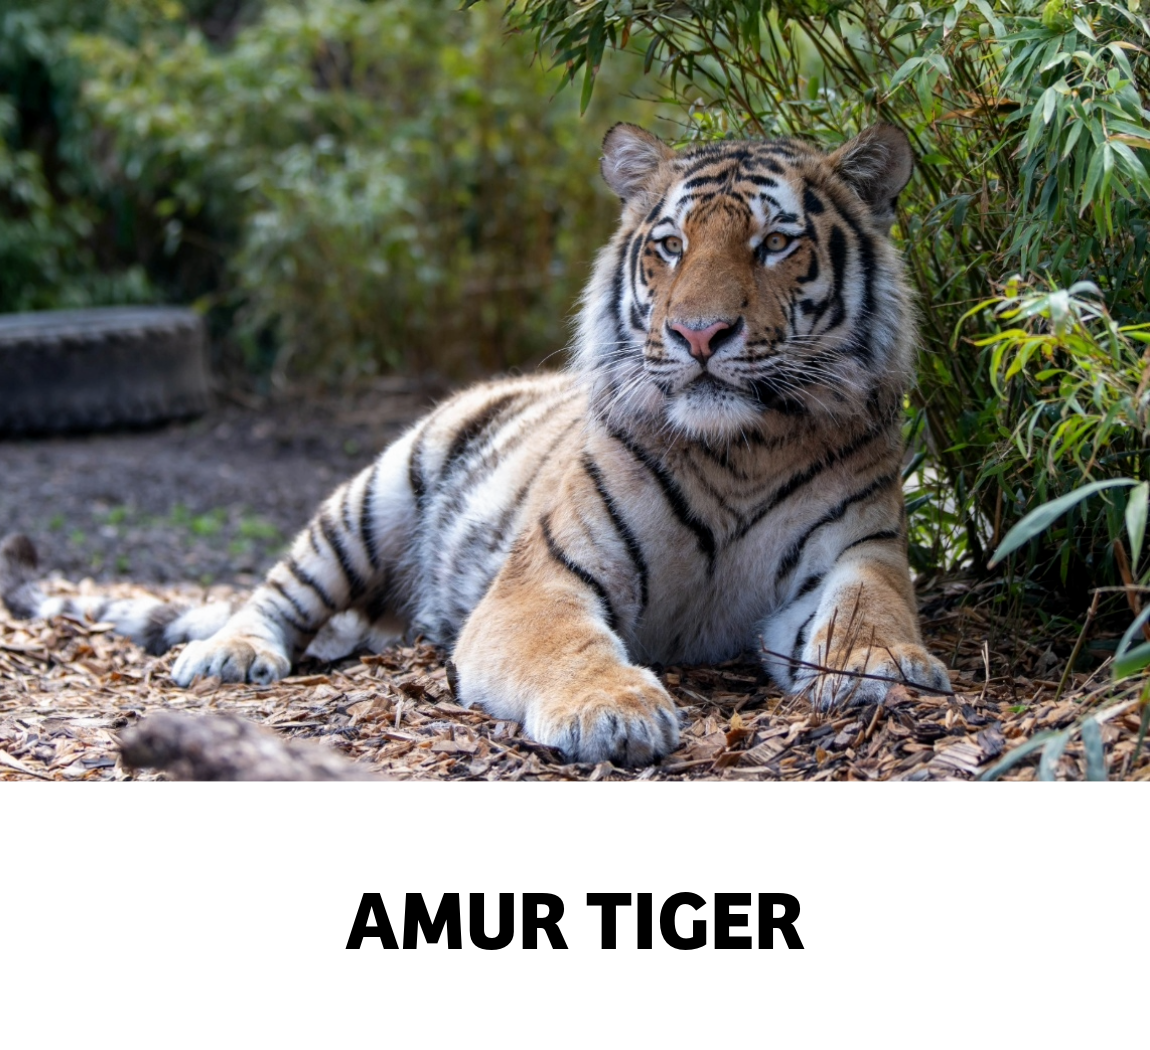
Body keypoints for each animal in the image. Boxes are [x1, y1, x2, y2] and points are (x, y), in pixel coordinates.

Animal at [1, 122, 952, 766]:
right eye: (671, 246)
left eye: (776, 243)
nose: (699, 335)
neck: (739, 447)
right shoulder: (543, 580)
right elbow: (568, 647)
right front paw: (612, 710)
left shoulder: (857, 552)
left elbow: (871, 610)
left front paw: (885, 668)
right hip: (372, 497)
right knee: (277, 591)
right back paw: (230, 654)